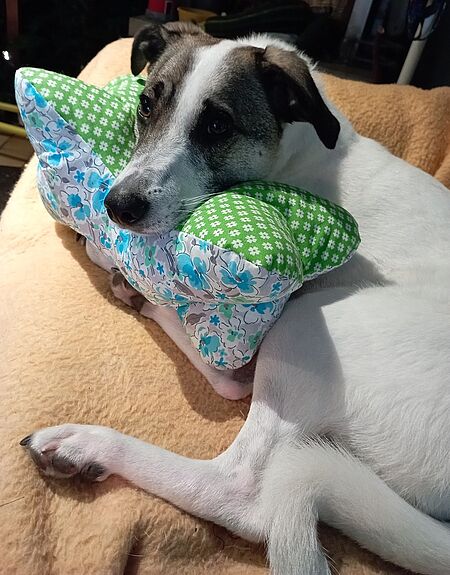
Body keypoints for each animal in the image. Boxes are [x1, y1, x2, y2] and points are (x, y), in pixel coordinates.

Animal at [20, 23, 450, 574]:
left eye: (216, 126)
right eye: (146, 104)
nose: (116, 206)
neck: (296, 146)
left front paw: (108, 253)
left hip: (311, 325)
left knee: (236, 473)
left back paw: (91, 433)